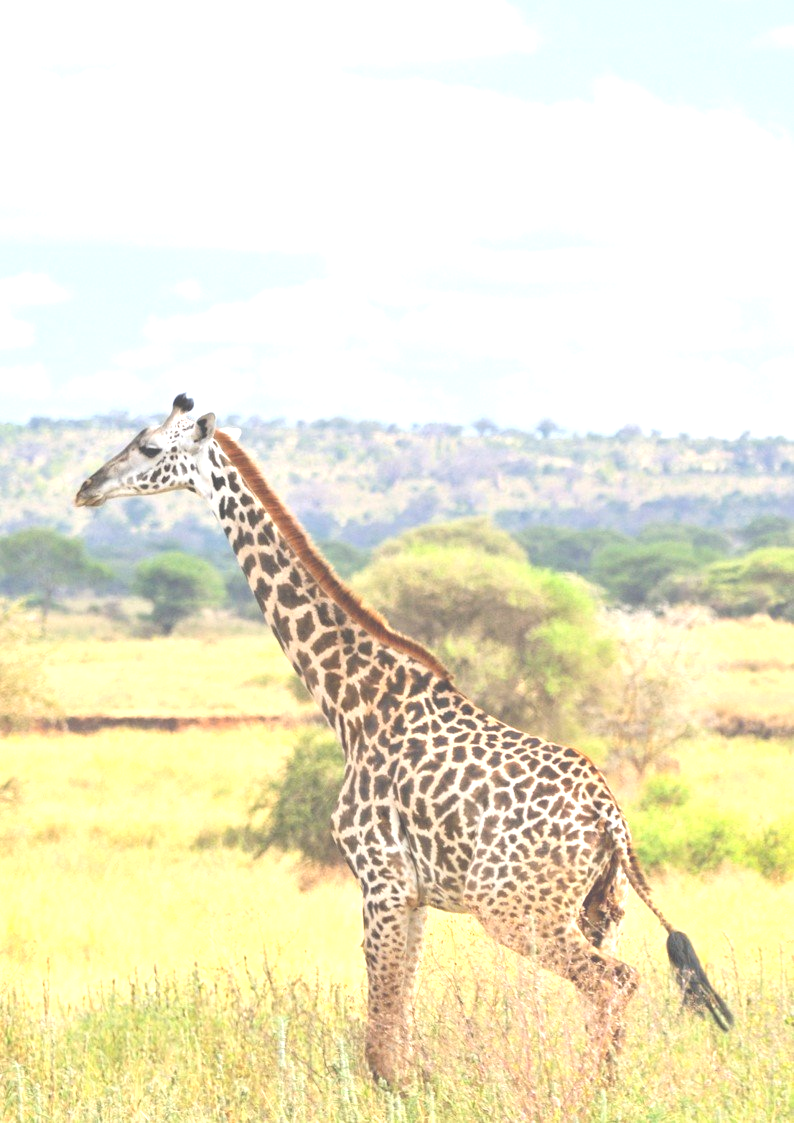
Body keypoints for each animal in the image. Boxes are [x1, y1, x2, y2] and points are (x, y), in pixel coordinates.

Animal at [75, 394, 733, 1084]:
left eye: (150, 448)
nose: (86, 488)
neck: (354, 705)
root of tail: (612, 820)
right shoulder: (413, 895)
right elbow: (399, 1030)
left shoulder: (380, 880)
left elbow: (381, 1038)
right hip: (600, 909)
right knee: (607, 991)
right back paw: (603, 1088)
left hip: (519, 912)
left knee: (614, 982)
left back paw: (584, 1094)